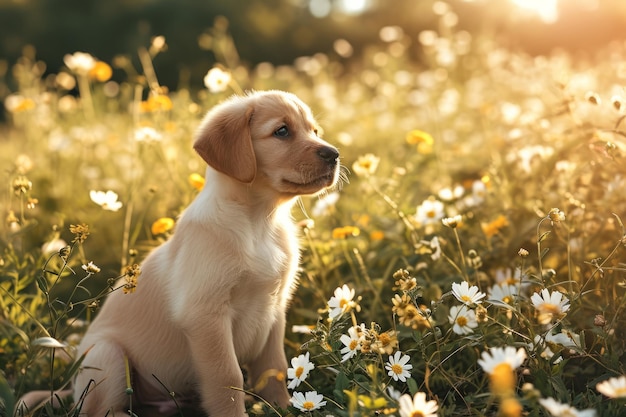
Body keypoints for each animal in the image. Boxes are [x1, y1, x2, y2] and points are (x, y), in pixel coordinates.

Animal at [70, 89, 338, 414]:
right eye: (282, 131)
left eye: (315, 131)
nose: (334, 154)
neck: (259, 222)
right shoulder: (204, 315)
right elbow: (228, 378)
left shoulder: (275, 308)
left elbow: (274, 367)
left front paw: (283, 407)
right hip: (106, 354)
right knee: (98, 410)